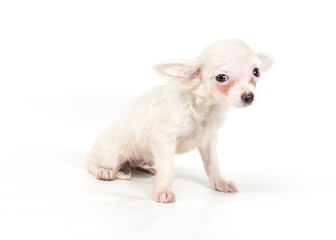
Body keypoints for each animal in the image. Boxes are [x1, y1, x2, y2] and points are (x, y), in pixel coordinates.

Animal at [87, 39, 272, 202]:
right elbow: (168, 168)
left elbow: (212, 164)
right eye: (221, 77)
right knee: (91, 162)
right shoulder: (164, 138)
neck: (205, 109)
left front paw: (220, 183)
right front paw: (163, 191)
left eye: (256, 72)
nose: (248, 96)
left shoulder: (208, 140)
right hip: (111, 155)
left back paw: (146, 166)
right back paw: (103, 171)